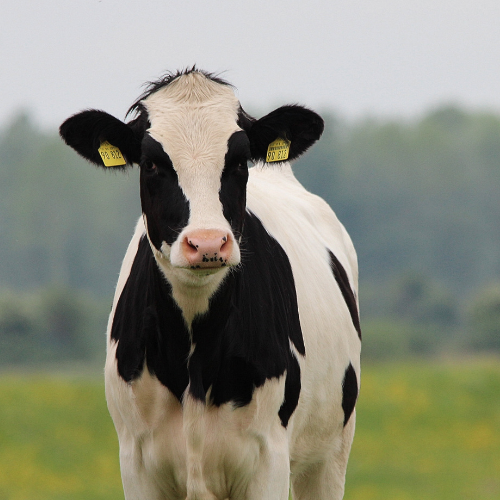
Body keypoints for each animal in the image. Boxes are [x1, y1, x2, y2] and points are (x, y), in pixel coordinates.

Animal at [60, 67, 362, 500]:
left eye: (238, 161)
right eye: (151, 163)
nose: (206, 243)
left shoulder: (268, 459)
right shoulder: (136, 462)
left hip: (331, 452)